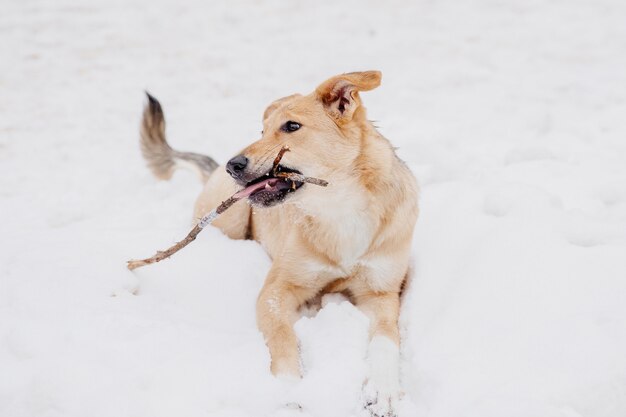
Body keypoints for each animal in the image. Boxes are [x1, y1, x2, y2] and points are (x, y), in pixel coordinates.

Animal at [139, 70, 416, 412]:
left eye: (291, 127)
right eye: (262, 130)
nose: (233, 165)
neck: (340, 208)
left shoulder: (382, 293)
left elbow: (386, 339)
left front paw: (384, 388)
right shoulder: (276, 291)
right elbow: (283, 337)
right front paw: (289, 391)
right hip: (229, 219)